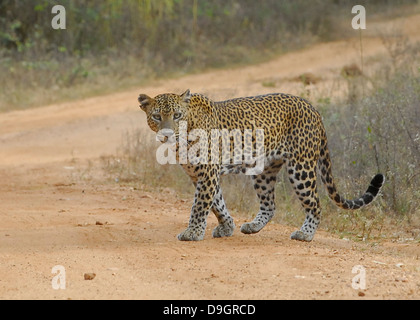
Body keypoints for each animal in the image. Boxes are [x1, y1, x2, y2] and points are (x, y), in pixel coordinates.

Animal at [138, 89, 384, 241]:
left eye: (177, 115)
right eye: (157, 116)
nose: (168, 134)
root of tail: (313, 109)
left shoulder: (207, 172)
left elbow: (200, 205)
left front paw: (193, 232)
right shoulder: (200, 175)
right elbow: (217, 203)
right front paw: (227, 227)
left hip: (300, 167)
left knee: (315, 203)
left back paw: (305, 234)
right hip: (264, 170)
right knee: (270, 204)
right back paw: (253, 226)